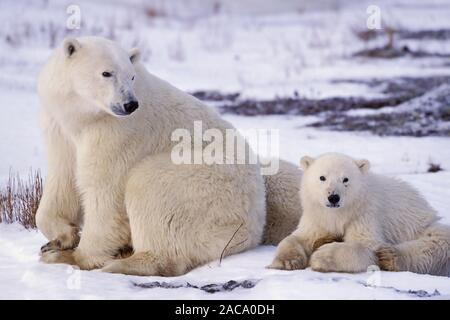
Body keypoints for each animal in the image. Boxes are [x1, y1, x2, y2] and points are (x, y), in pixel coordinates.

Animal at [36, 35, 302, 276]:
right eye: (107, 73)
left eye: (131, 76)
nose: (130, 104)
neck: (84, 117)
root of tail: (255, 221)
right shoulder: (60, 128)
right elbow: (63, 178)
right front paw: (61, 238)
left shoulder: (117, 133)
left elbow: (105, 192)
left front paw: (77, 256)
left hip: (207, 187)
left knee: (150, 187)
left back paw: (125, 262)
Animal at [268, 152, 450, 276]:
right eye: (322, 177)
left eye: (345, 179)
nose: (333, 197)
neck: (339, 213)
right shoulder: (317, 217)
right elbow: (298, 237)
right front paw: (286, 261)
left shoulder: (364, 215)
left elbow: (366, 246)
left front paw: (321, 256)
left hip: (422, 227)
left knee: (435, 244)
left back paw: (389, 256)